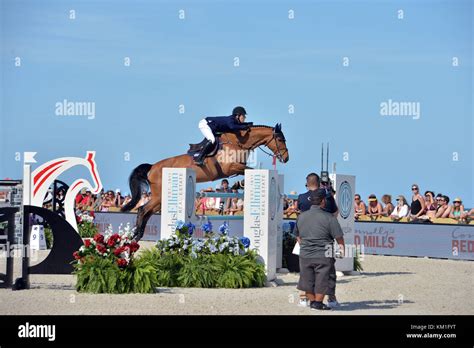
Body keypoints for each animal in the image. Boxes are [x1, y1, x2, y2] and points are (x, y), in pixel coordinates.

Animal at [121, 123, 288, 241]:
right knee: (143, 210)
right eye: (280, 139)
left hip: (160, 199)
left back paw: (136, 235)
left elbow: (246, 170)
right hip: (158, 196)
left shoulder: (235, 168)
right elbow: (248, 169)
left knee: (146, 211)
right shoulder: (230, 168)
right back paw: (135, 236)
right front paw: (239, 184)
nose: (286, 158)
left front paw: (238, 184)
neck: (238, 143)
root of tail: (152, 167)